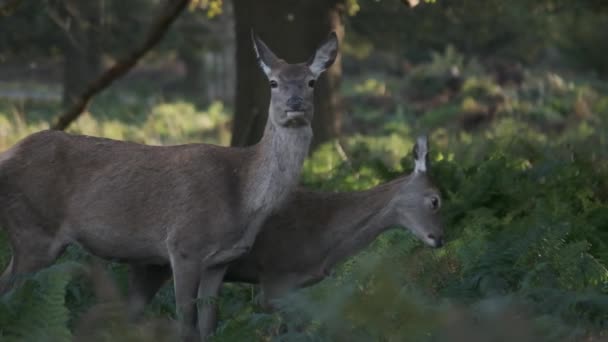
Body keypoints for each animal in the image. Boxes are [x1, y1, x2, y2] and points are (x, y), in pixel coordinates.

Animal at [0, 30, 340, 340]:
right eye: (273, 82)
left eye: (311, 81)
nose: (295, 103)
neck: (242, 196)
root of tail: (8, 154)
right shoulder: (184, 245)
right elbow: (185, 324)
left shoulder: (221, 261)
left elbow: (208, 327)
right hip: (33, 231)